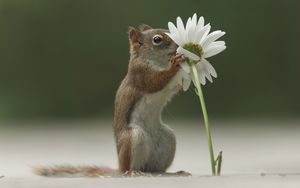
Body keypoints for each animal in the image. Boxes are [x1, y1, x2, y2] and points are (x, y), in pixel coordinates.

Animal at [34, 24, 189, 177]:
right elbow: (157, 81)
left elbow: (175, 87)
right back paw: (133, 172)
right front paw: (175, 64)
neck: (158, 62)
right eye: (157, 39)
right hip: (133, 138)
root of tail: (119, 168)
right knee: (129, 166)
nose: (179, 45)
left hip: (168, 139)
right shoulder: (141, 75)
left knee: (155, 168)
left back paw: (175, 172)